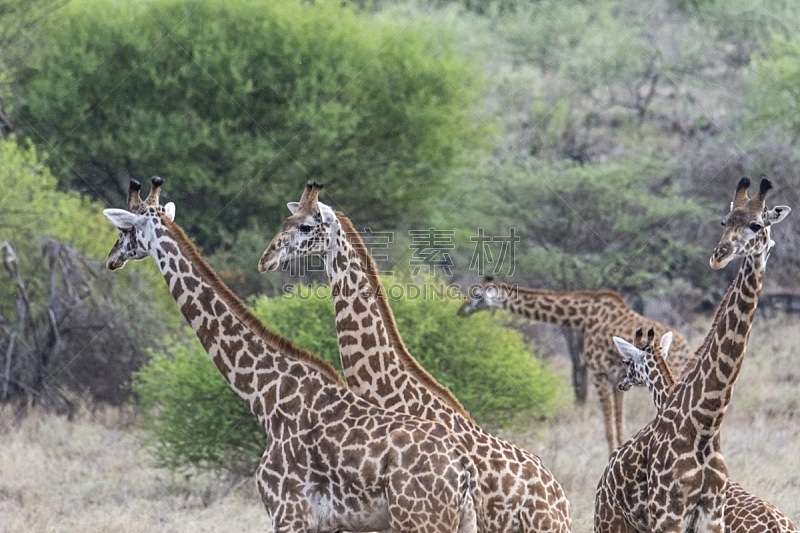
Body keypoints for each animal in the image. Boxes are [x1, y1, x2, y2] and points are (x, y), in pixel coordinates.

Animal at [101, 178, 482, 532]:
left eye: (124, 230)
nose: (111, 259)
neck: (266, 396)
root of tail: (462, 472)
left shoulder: (288, 512)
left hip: (418, 519)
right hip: (459, 520)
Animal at [456, 276, 692, 456]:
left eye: (477, 295)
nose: (461, 310)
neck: (583, 317)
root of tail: (686, 350)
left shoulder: (598, 373)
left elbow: (608, 429)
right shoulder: (616, 379)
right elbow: (619, 426)